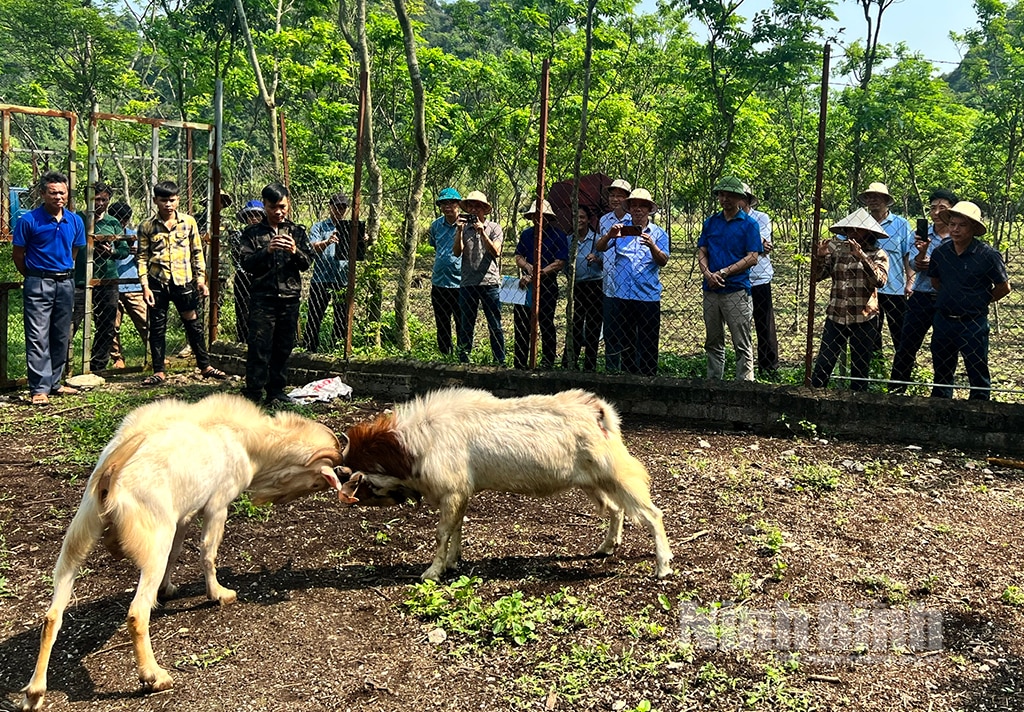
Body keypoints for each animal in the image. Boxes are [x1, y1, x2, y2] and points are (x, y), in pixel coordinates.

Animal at [18, 393, 344, 708]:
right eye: (318, 482)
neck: (243, 438)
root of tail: (112, 473)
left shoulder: (182, 516)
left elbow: (177, 554)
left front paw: (168, 589)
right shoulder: (217, 506)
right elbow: (208, 553)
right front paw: (219, 594)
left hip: (78, 537)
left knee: (52, 616)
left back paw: (34, 693)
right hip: (153, 542)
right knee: (136, 613)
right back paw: (155, 676)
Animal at [335, 387, 671, 581]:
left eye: (359, 477)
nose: (352, 500)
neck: (419, 440)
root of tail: (598, 410)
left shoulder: (452, 491)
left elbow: (443, 532)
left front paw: (432, 571)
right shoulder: (461, 493)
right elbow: (457, 529)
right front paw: (453, 563)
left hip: (616, 472)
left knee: (652, 513)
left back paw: (663, 566)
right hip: (594, 481)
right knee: (615, 508)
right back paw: (606, 547)